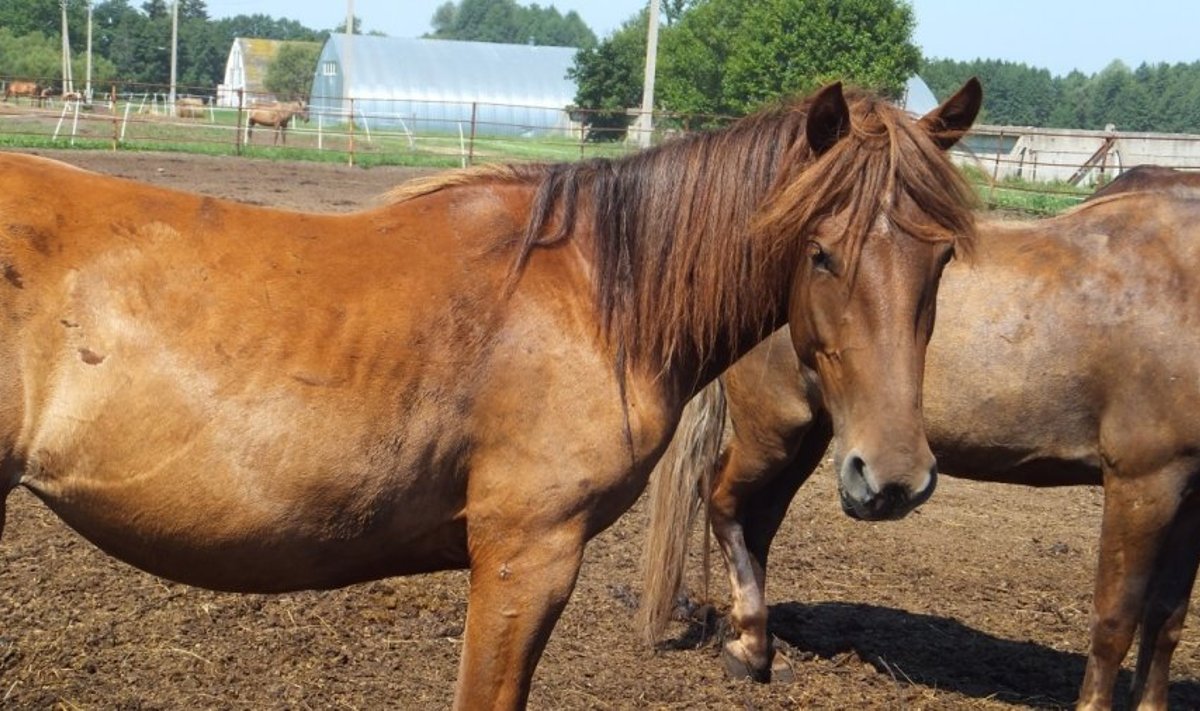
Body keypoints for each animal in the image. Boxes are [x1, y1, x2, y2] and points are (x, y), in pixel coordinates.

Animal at [643, 188, 1200, 711]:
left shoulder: (1188, 498)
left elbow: (1165, 620)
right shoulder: (1143, 483)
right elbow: (1115, 622)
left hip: (810, 440)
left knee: (757, 523)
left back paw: (759, 644)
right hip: (775, 431)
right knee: (722, 501)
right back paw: (750, 647)